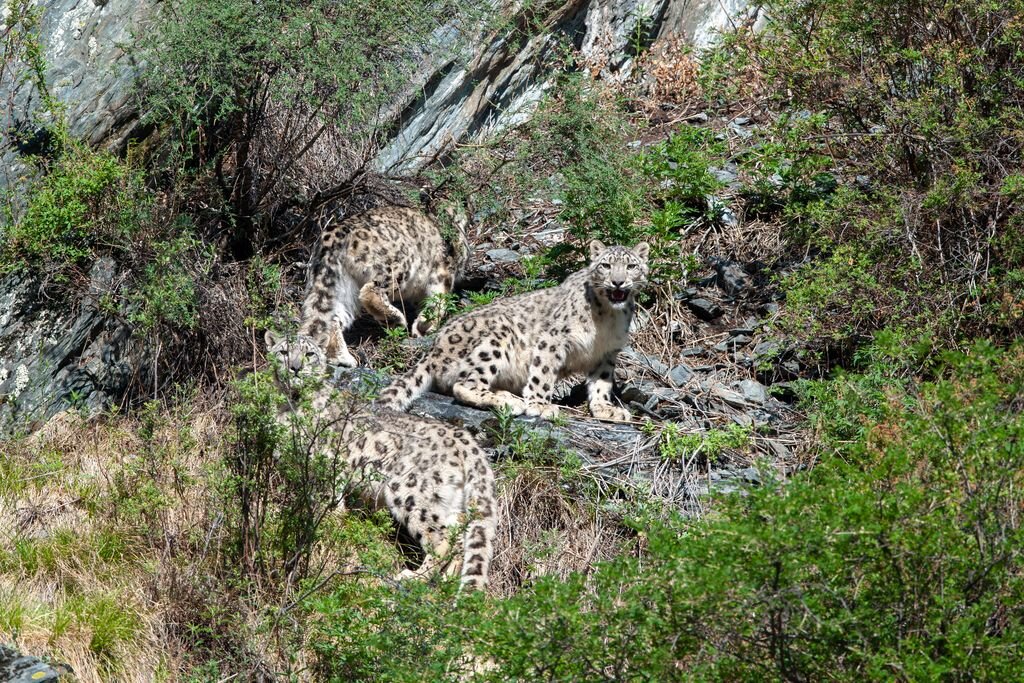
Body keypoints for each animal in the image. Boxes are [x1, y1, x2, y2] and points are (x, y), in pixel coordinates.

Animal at [260, 329, 491, 589]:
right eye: (283, 351)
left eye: (309, 354)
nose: (296, 368)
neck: (288, 405)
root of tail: (465, 439)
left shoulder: (326, 462)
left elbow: (328, 504)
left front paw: (326, 531)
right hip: (446, 499)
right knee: (458, 535)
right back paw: (446, 581)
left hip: (411, 492)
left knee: (441, 538)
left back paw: (415, 577)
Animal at [299, 204, 468, 368]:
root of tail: (334, 232)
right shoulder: (444, 271)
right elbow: (439, 299)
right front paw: (426, 326)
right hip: (401, 265)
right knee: (370, 291)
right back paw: (396, 320)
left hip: (343, 285)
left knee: (334, 317)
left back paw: (342, 358)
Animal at [376, 240, 647, 421]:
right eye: (606, 265)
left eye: (632, 266)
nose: (618, 282)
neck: (607, 319)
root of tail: (433, 350)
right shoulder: (553, 339)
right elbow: (543, 373)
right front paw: (540, 405)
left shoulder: (607, 352)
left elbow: (602, 383)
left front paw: (605, 409)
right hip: (497, 336)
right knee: (464, 385)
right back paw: (509, 402)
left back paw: (508, 397)